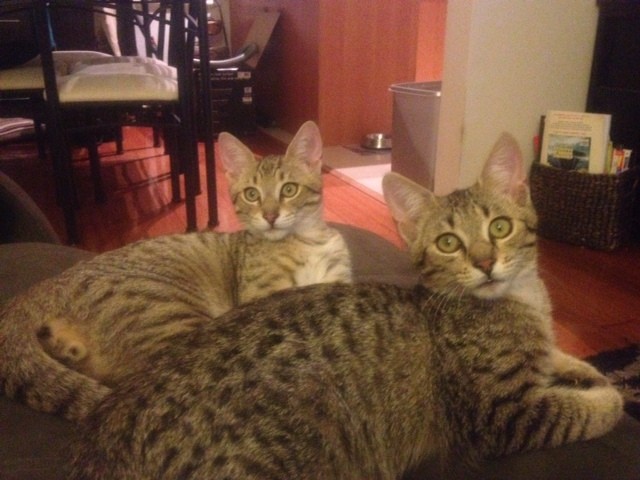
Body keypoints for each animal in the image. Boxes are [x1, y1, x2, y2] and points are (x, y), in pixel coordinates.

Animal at [0, 120, 352, 421]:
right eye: (252, 194)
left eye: (289, 189)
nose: (270, 216)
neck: (305, 241)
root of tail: (54, 281)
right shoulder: (262, 297)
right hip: (171, 319)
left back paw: (62, 347)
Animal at [69, 133, 622, 479]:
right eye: (448, 243)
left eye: (500, 227)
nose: (486, 263)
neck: (521, 301)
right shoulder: (503, 414)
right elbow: (581, 411)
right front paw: (610, 396)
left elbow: (561, 358)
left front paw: (586, 369)